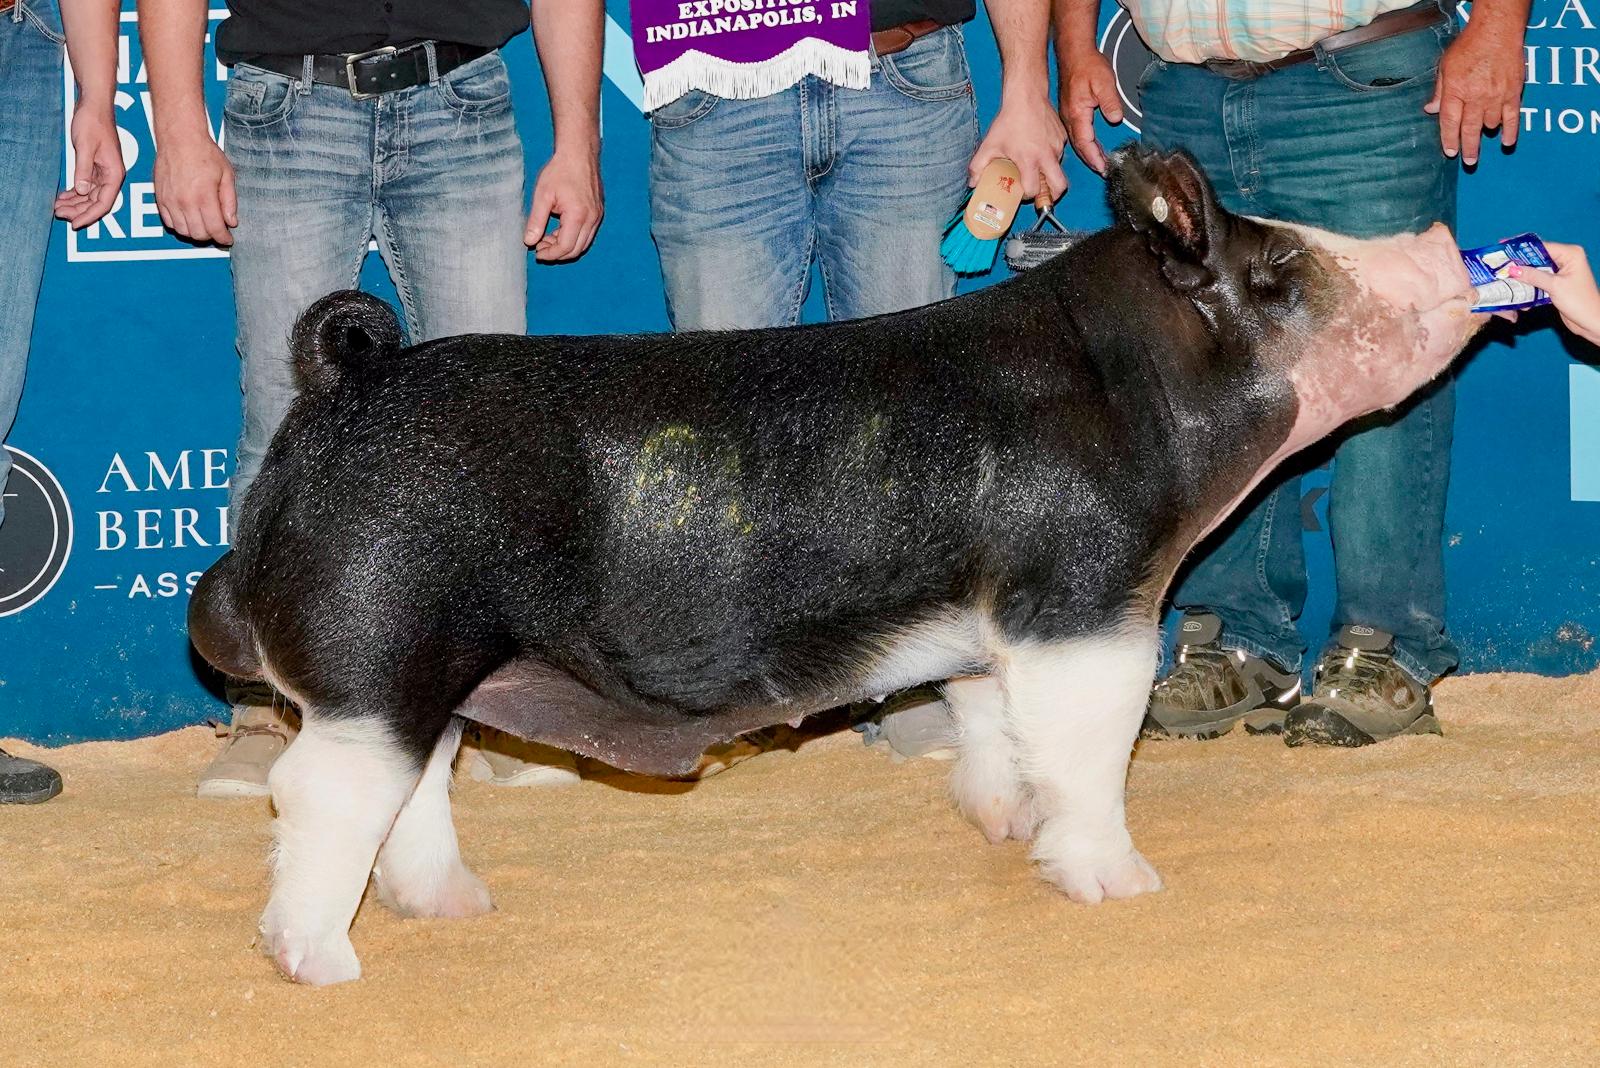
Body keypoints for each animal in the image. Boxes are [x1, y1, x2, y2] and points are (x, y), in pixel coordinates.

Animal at [188, 145, 1483, 985]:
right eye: (1274, 278)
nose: (1437, 241)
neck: (1132, 393)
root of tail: (343, 382)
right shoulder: (1083, 597)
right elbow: (1091, 750)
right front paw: (1123, 887)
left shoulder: (989, 621)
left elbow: (991, 723)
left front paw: (1001, 827)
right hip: (378, 647)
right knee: (317, 792)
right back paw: (322, 965)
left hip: (430, 669)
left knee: (411, 789)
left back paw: (456, 906)